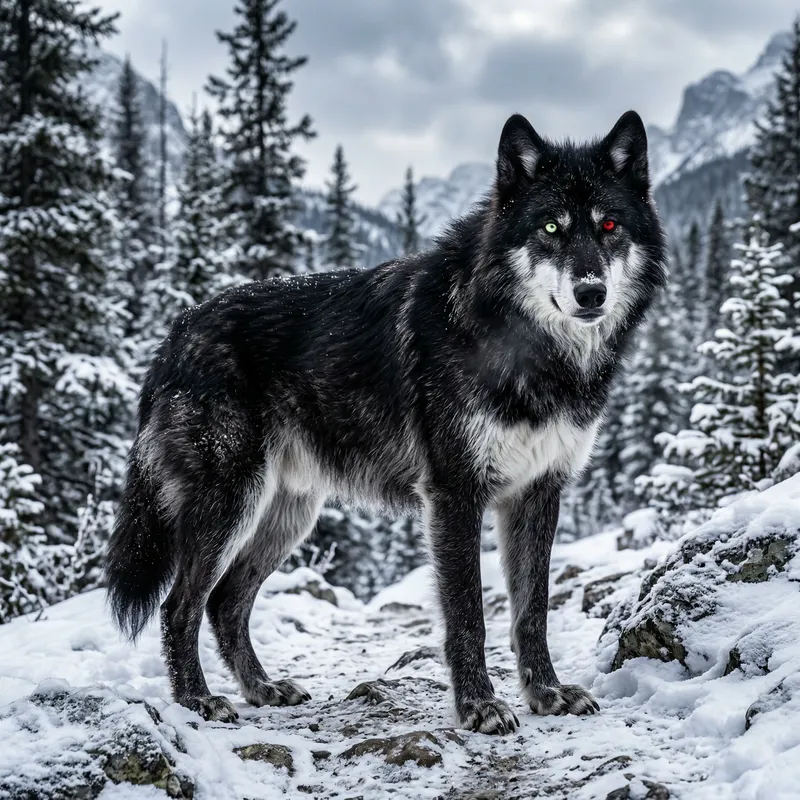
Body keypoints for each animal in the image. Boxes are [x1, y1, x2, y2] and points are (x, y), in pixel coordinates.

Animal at [105, 110, 667, 735]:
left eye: (609, 225)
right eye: (550, 228)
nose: (591, 292)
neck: (526, 347)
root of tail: (174, 335)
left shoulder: (539, 492)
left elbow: (532, 610)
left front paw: (545, 692)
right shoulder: (454, 493)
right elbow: (468, 613)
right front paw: (478, 706)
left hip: (287, 515)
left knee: (226, 601)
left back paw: (262, 689)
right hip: (231, 505)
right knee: (180, 605)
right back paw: (197, 701)